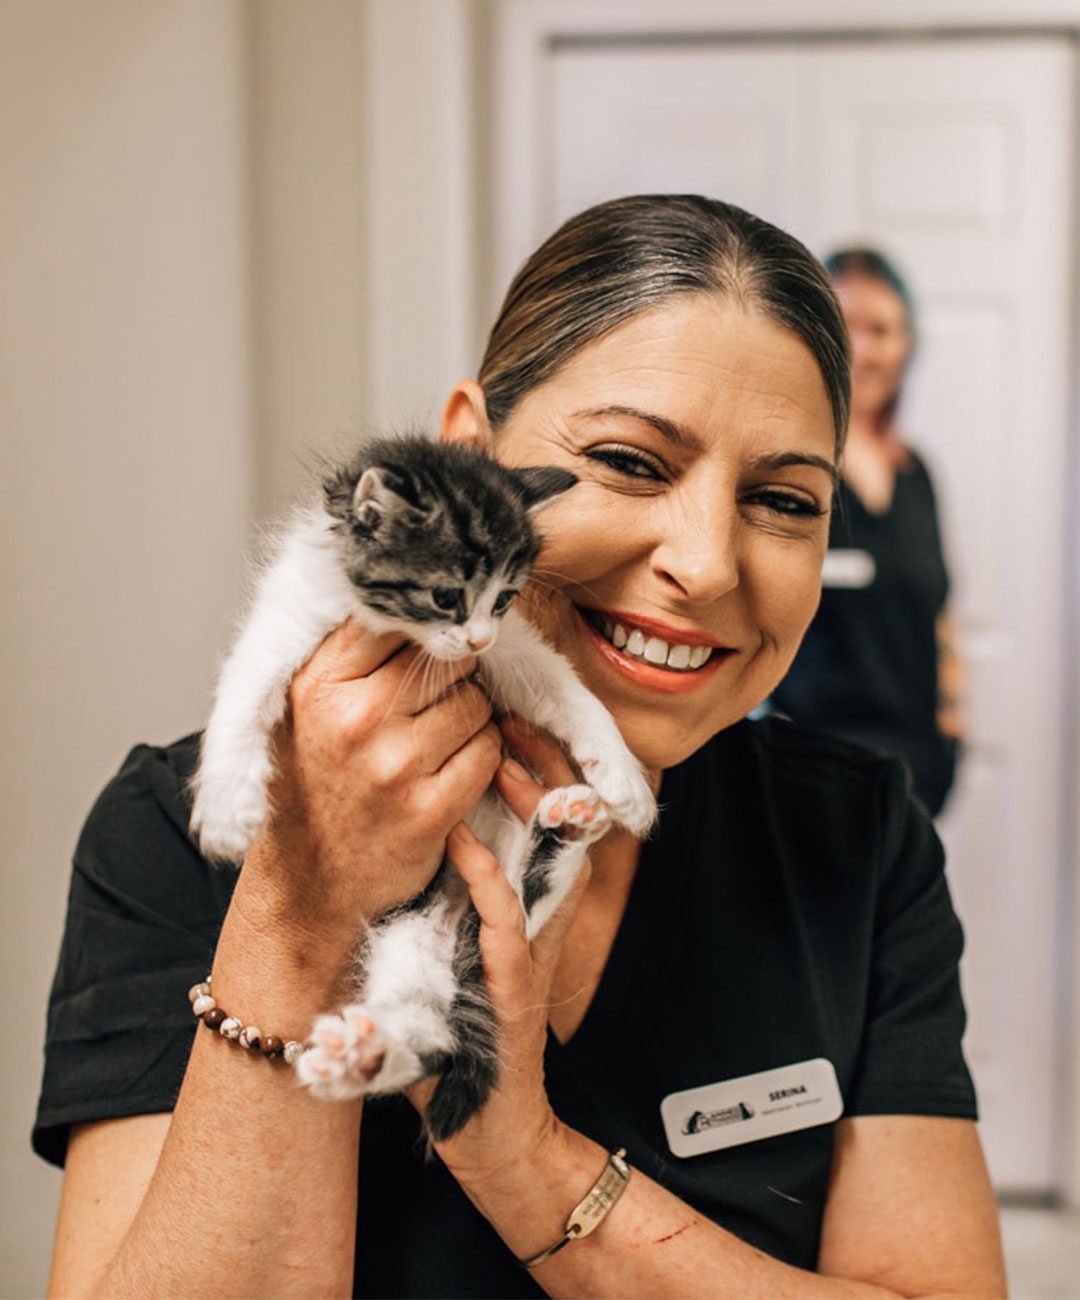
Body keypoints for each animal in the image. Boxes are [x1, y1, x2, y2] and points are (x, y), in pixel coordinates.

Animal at [189, 434, 655, 1138]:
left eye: (503, 599)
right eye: (445, 597)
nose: (477, 636)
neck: (401, 634)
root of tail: (453, 916)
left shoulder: (509, 651)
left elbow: (567, 688)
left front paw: (625, 777)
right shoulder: (290, 618)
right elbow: (244, 692)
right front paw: (225, 806)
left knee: (517, 915)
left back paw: (567, 825)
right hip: (408, 933)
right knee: (429, 1030)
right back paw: (365, 1055)